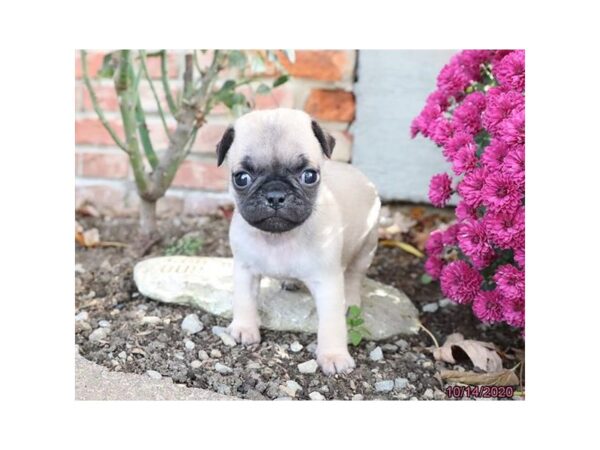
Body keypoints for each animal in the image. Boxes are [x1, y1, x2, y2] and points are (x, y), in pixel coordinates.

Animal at [216, 107, 380, 374]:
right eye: (241, 178)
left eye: (309, 176)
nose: (275, 195)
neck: (278, 239)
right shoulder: (244, 269)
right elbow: (244, 300)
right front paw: (244, 328)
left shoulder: (327, 283)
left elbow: (331, 323)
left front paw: (333, 356)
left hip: (367, 246)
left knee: (354, 276)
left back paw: (352, 301)